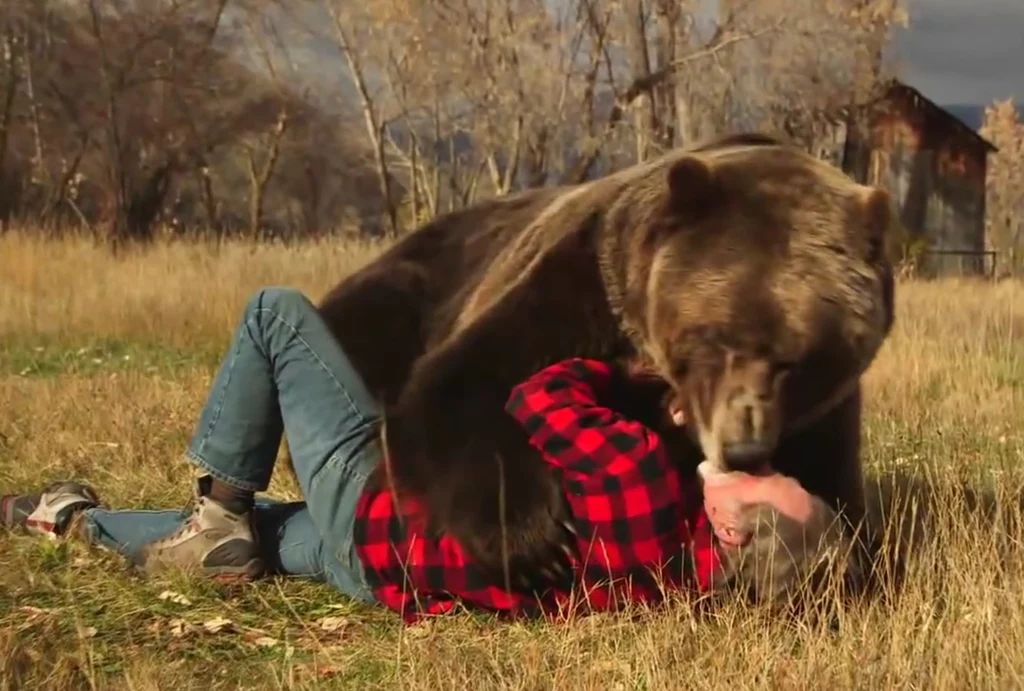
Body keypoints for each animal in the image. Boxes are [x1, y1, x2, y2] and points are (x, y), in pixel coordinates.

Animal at [313, 134, 897, 593]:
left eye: (796, 360)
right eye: (715, 338)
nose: (743, 448)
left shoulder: (825, 419)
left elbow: (841, 502)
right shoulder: (578, 285)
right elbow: (457, 383)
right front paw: (534, 541)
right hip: (409, 283)